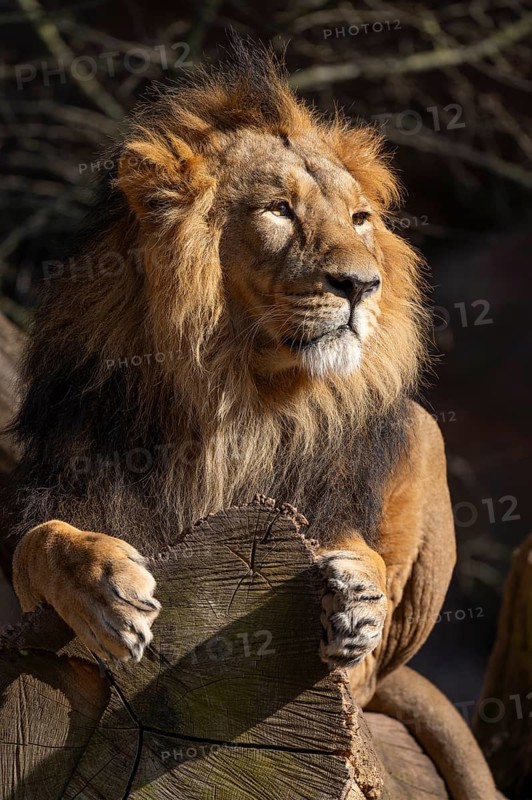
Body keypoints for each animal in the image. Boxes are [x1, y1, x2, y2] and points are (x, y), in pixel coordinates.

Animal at [5, 42, 498, 797]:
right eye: (279, 210)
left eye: (359, 219)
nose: (362, 284)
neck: (246, 399)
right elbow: (40, 540)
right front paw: (107, 591)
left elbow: (360, 555)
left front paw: (356, 593)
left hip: (425, 430)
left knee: (369, 683)